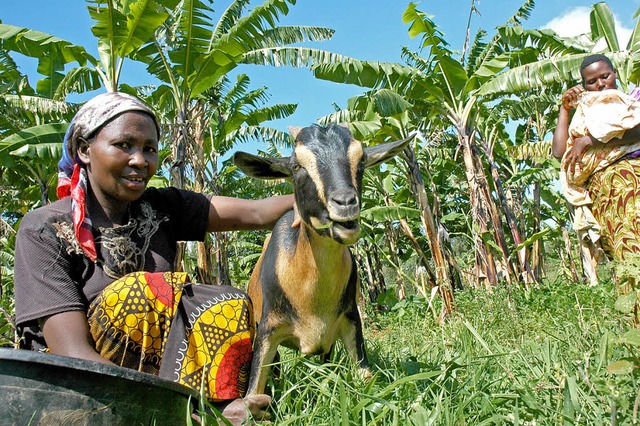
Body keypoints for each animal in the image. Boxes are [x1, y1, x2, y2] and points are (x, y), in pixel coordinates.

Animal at [234, 123, 410, 396]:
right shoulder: (267, 329)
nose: (346, 203)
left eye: (361, 159)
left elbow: (367, 378)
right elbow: (253, 392)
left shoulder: (350, 320)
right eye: (297, 166)